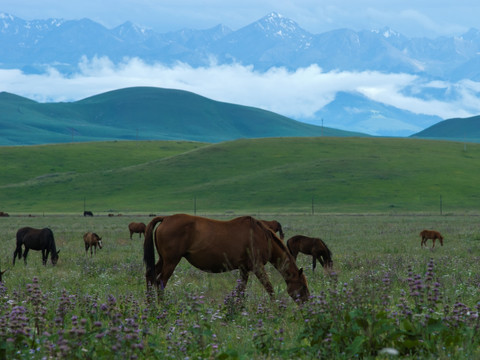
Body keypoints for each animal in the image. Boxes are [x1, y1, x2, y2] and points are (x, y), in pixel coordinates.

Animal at [142, 215, 310, 302]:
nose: (308, 303)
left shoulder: (244, 269)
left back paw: (151, 306)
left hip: (164, 260)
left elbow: (240, 291)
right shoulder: (257, 267)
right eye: (303, 286)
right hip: (171, 261)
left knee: (150, 276)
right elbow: (270, 289)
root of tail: (165, 218)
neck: (261, 236)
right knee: (161, 281)